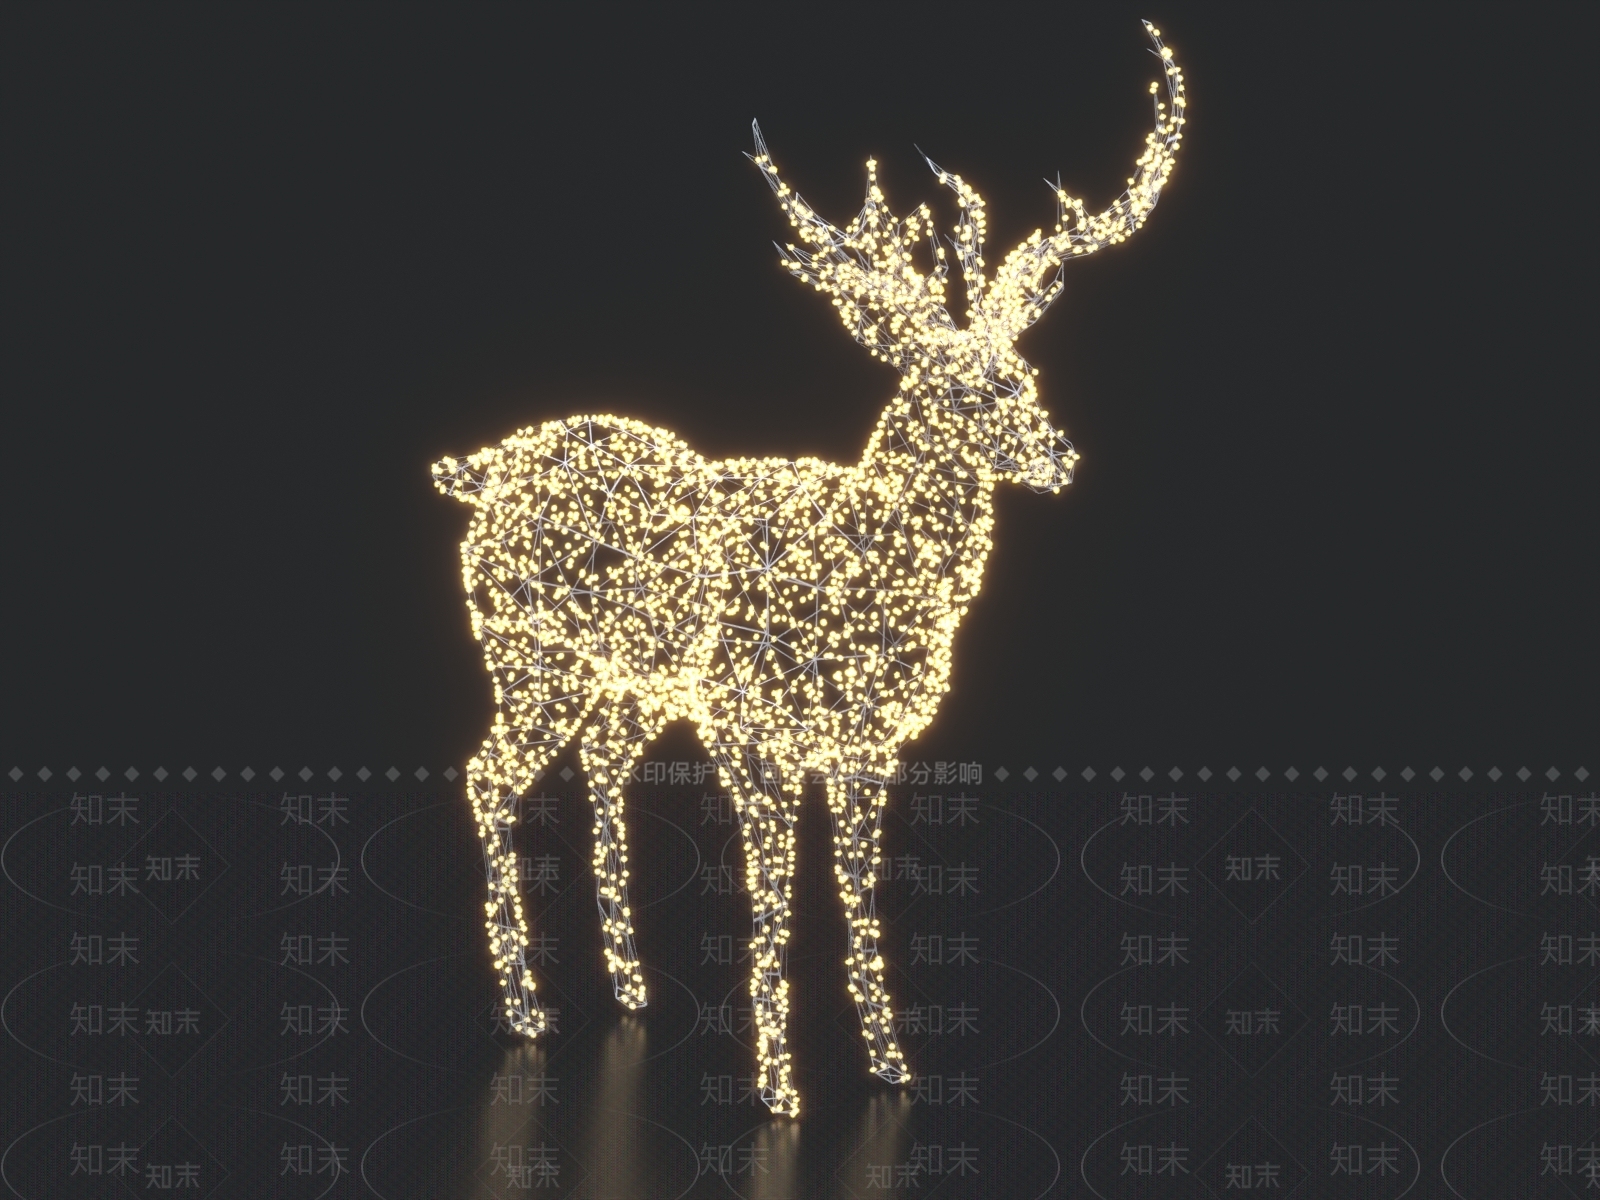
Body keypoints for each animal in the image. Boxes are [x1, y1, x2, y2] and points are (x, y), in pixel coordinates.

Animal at [432, 20, 1185, 1116]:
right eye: (967, 386)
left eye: (1025, 371)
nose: (1062, 457)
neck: (866, 558)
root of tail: (483, 471)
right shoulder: (757, 736)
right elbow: (775, 903)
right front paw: (780, 1091)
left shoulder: (867, 748)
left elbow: (859, 898)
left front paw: (892, 1069)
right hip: (533, 657)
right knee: (489, 775)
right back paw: (527, 1008)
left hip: (631, 680)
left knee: (602, 761)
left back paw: (632, 989)